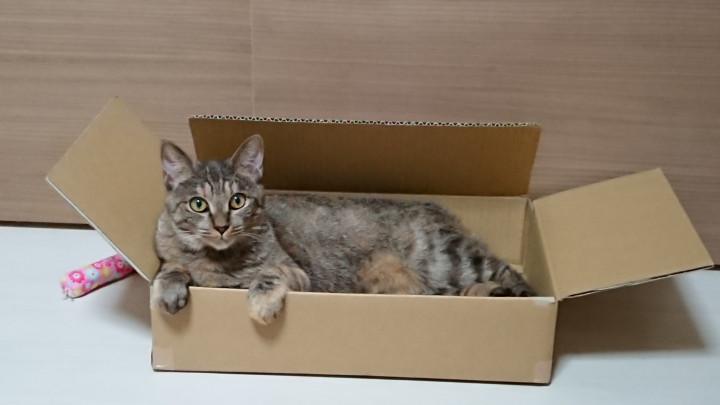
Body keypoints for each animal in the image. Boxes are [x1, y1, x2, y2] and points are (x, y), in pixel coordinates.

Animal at [152, 135, 535, 325]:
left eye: (237, 201)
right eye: (198, 204)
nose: (220, 226)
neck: (217, 261)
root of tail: (439, 207)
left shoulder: (297, 272)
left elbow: (269, 274)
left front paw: (261, 303)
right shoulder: (171, 254)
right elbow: (170, 267)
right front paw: (167, 289)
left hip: (448, 261)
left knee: (510, 274)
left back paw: (513, 292)